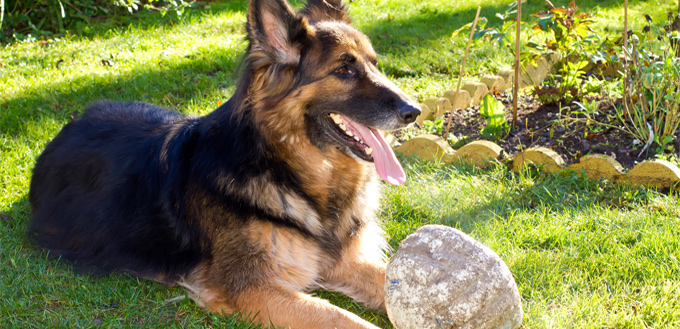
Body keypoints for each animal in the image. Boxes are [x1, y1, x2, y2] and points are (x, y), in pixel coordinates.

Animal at [30, 0, 420, 326]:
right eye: (343, 70)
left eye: (374, 64)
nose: (414, 111)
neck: (288, 169)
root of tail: (71, 123)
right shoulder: (253, 288)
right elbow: (342, 319)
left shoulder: (342, 261)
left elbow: (387, 278)